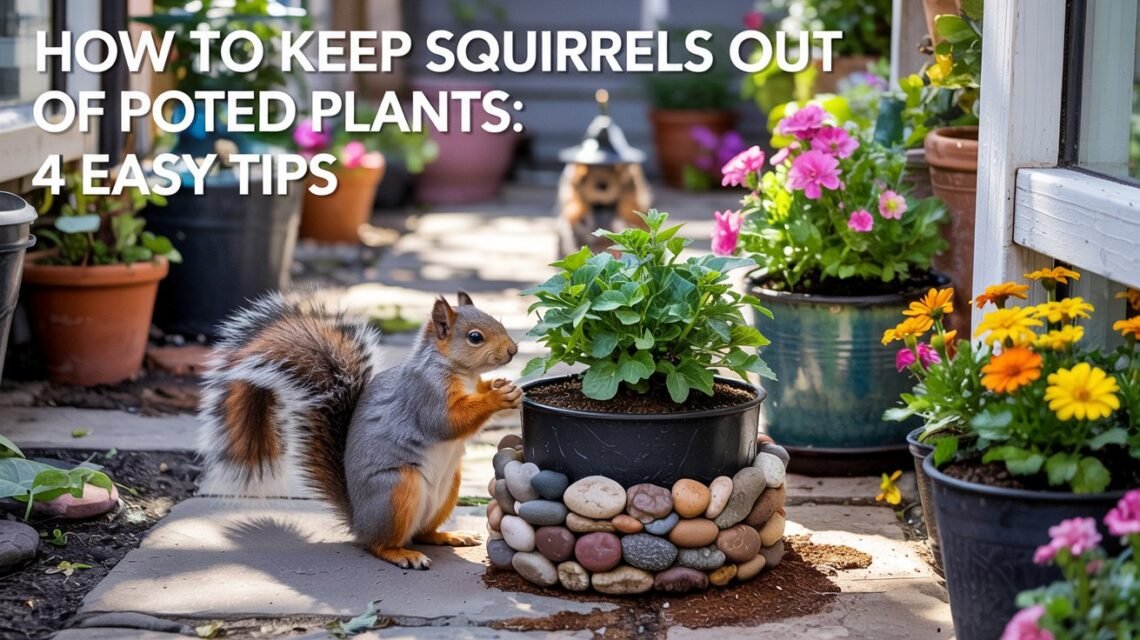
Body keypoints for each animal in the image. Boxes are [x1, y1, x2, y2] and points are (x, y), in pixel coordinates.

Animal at [198, 291, 521, 570]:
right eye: (475, 337)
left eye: (497, 321)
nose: (513, 350)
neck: (462, 373)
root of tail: (358, 522)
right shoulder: (427, 394)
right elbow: (447, 422)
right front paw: (497, 397)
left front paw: (501, 385)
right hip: (396, 489)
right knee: (379, 544)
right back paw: (402, 554)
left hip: (448, 486)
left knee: (421, 532)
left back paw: (449, 535)